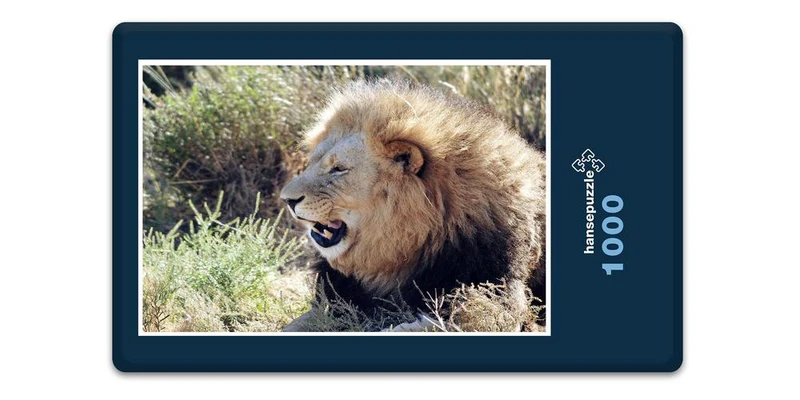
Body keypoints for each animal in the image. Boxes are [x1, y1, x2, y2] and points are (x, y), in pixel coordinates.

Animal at [279, 80, 546, 332]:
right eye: (312, 162)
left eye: (338, 169)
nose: (287, 200)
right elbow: (295, 324)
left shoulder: (501, 296)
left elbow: (440, 323)